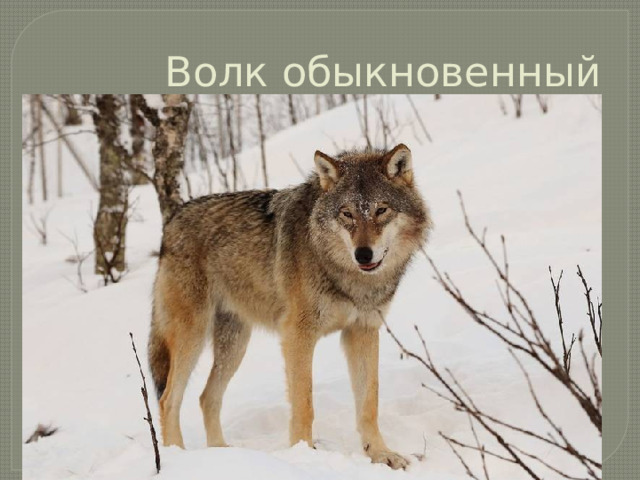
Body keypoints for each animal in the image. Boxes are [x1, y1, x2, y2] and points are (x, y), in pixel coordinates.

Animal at [148, 143, 431, 469]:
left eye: (381, 210)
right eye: (347, 214)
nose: (363, 254)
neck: (346, 275)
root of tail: (171, 221)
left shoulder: (362, 331)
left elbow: (369, 403)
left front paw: (381, 454)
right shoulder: (298, 335)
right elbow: (304, 403)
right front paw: (304, 454)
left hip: (234, 345)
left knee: (207, 397)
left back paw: (223, 454)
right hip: (192, 337)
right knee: (168, 399)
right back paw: (177, 457)